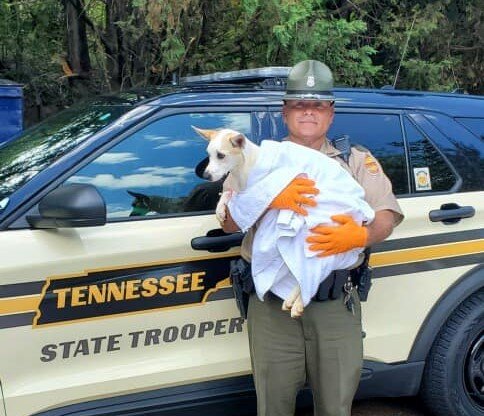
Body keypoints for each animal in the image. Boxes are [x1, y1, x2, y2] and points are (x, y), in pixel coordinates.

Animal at [192, 125, 302, 316]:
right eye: (209, 154)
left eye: (221, 155)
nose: (205, 175)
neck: (241, 171)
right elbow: (227, 194)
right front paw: (220, 208)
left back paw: (297, 303)